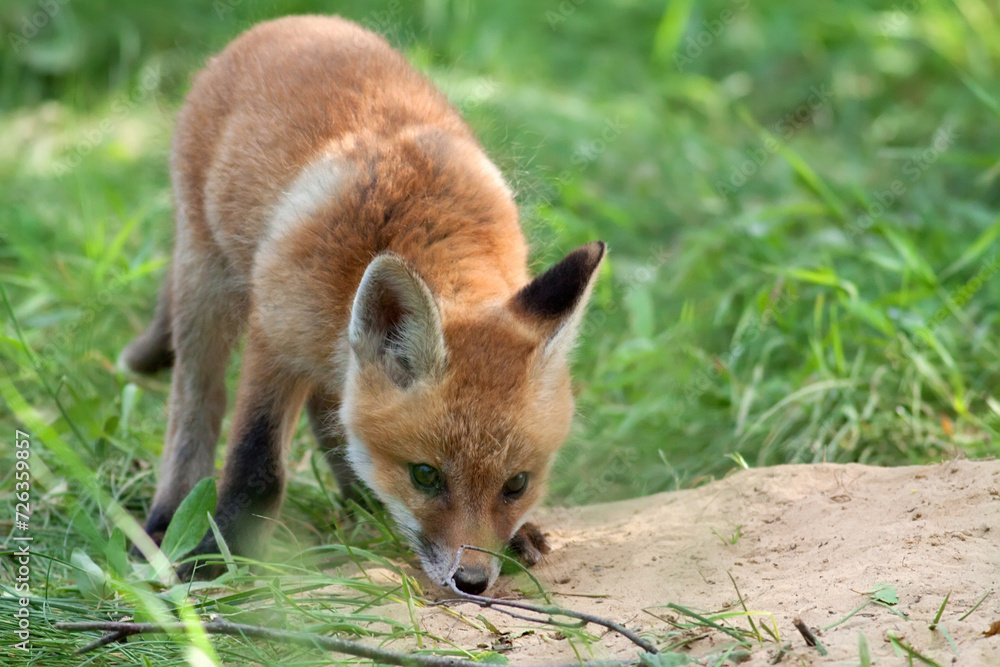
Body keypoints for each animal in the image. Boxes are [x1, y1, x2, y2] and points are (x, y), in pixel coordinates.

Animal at [120, 15, 605, 594]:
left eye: (516, 484)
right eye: (426, 475)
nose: (472, 581)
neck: (427, 227)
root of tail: (292, 22)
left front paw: (519, 533)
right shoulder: (274, 338)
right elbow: (257, 465)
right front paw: (218, 556)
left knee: (327, 411)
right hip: (206, 283)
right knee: (196, 405)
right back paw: (165, 519)